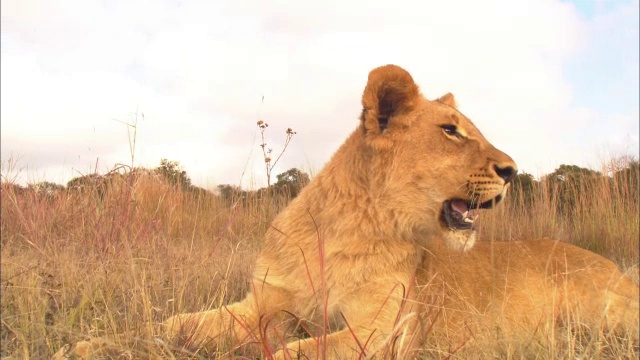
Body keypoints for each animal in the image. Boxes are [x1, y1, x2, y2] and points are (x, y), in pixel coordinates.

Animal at [52, 64, 516, 358]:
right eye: (451, 131)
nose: (512, 171)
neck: (348, 229)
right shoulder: (259, 305)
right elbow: (173, 325)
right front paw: (86, 346)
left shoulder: (383, 331)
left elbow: (295, 351)